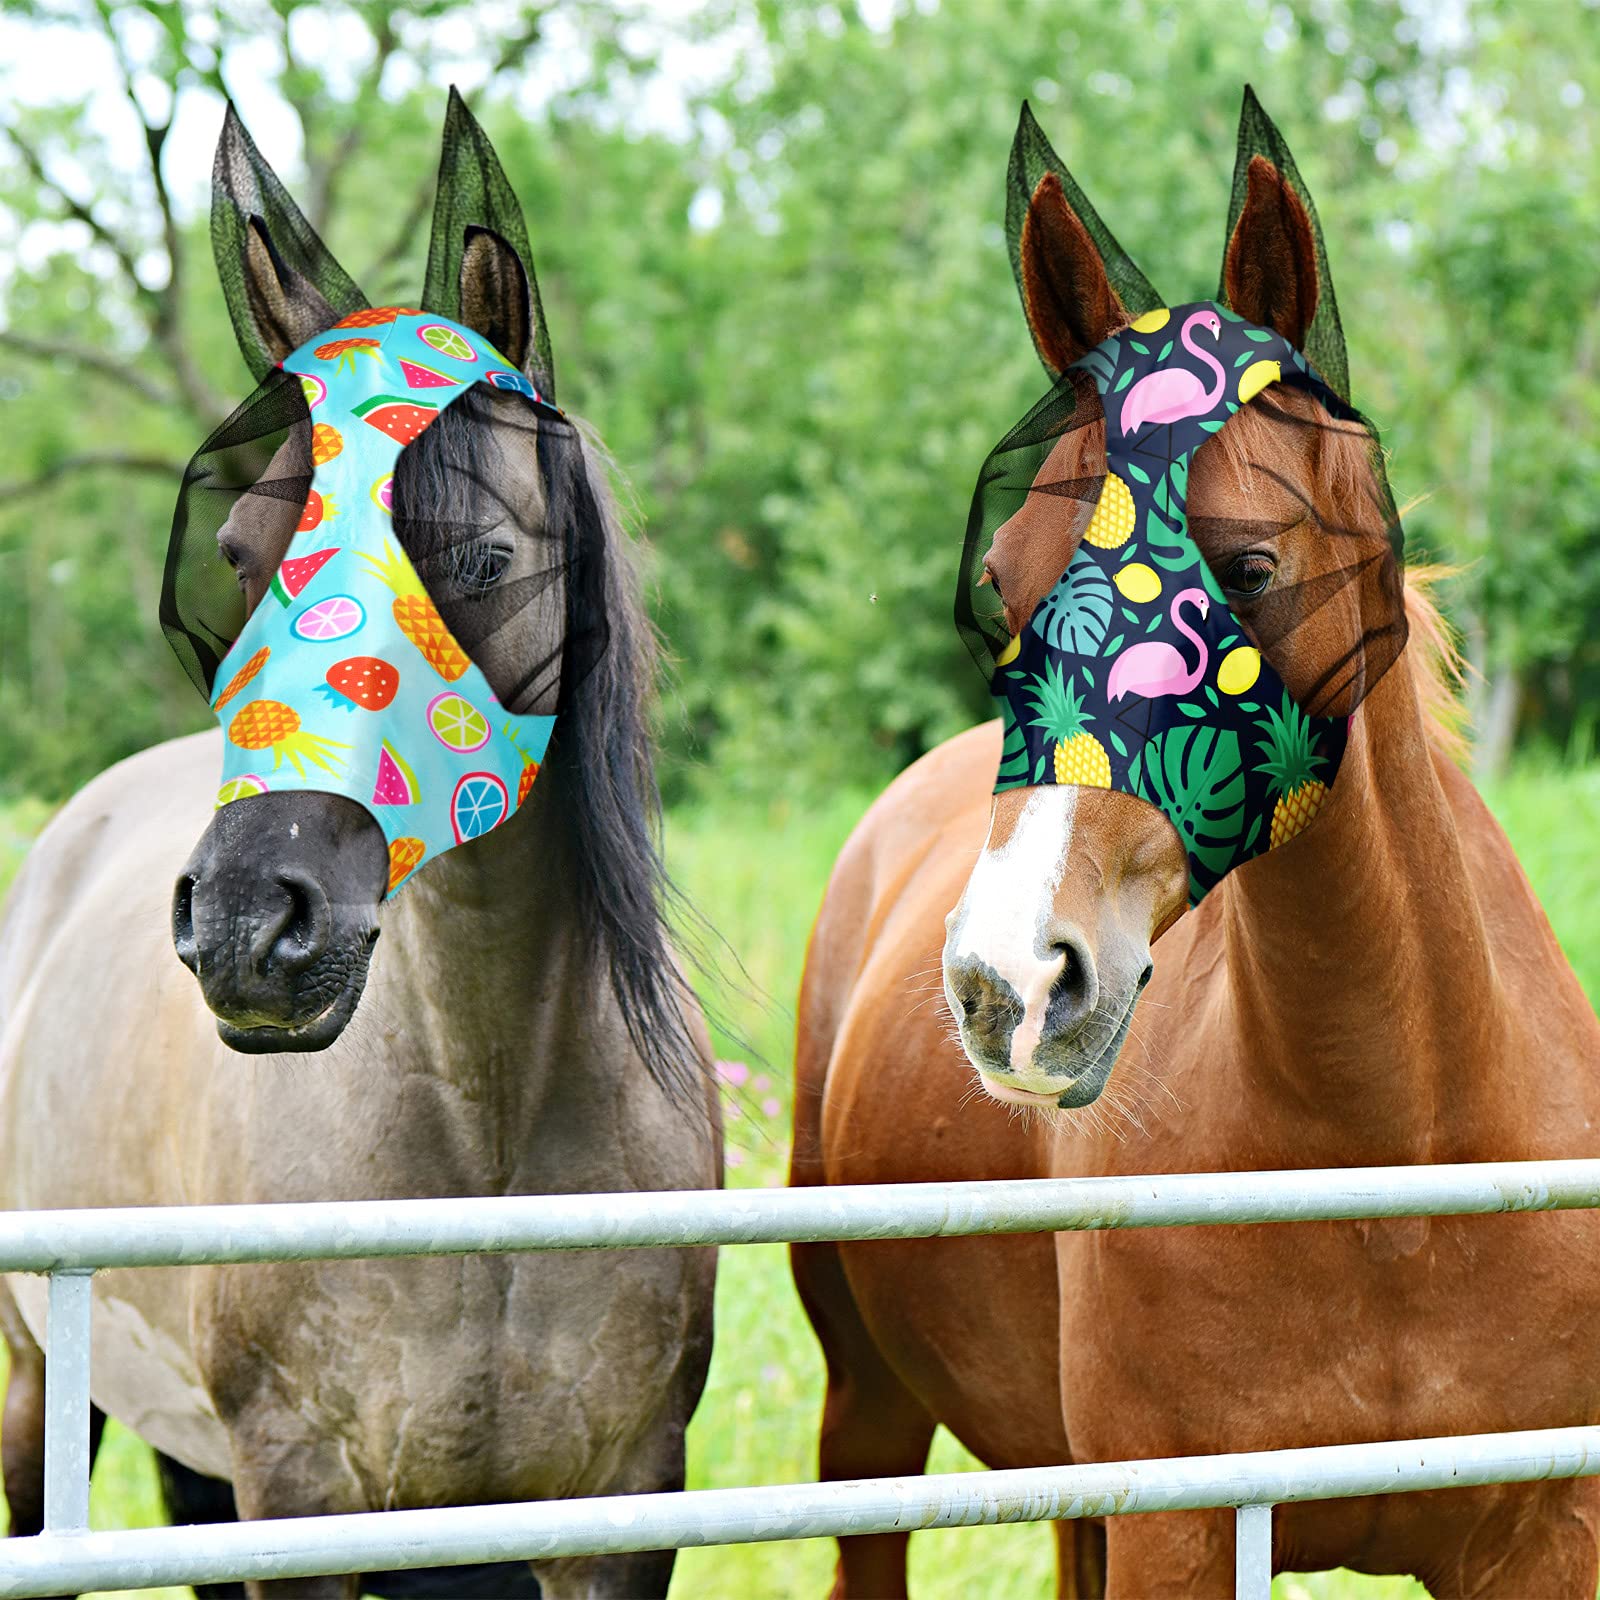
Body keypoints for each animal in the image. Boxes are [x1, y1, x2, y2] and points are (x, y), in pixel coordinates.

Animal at [0, 99, 720, 1600]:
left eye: (484, 556)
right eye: (233, 549)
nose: (246, 925)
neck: (486, 1136)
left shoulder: (621, 1502)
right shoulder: (301, 1492)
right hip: (47, 1393)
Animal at [792, 113, 1600, 1597]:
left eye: (1253, 566)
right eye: (996, 577)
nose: (1005, 984)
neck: (1395, 1156)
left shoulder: (1542, 1533)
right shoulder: (1179, 1522)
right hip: (868, 1414)